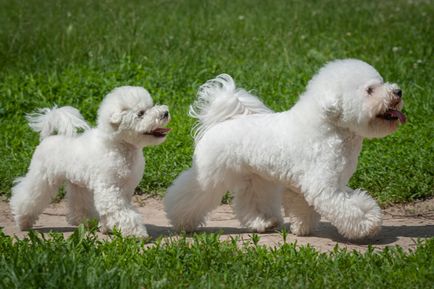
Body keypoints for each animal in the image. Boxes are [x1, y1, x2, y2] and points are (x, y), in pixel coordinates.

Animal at [10, 85, 170, 236]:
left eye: (151, 105)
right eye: (141, 113)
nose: (165, 113)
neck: (119, 146)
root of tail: (48, 137)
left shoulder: (124, 190)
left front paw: (107, 228)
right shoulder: (110, 189)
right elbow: (123, 212)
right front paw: (136, 233)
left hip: (77, 183)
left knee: (79, 204)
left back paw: (85, 222)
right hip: (41, 177)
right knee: (27, 196)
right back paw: (23, 222)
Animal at [164, 58, 406, 238]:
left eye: (381, 82)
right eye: (370, 90)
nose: (398, 92)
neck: (329, 128)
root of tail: (219, 124)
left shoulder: (326, 183)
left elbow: (305, 206)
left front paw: (302, 228)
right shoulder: (326, 186)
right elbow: (350, 208)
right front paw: (368, 223)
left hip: (256, 178)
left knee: (250, 201)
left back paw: (264, 222)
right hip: (209, 175)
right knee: (189, 195)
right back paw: (182, 222)